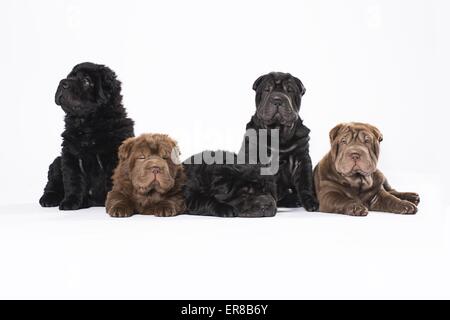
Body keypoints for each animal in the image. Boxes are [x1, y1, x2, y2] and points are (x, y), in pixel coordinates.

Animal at [39, 62, 134, 210]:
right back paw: (49, 199)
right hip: (57, 162)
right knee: (51, 184)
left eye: (86, 81)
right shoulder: (70, 155)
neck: (87, 125)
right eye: (69, 77)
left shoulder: (114, 155)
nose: (62, 82)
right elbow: (73, 181)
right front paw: (70, 202)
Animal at [237, 73, 318, 212]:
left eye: (290, 90)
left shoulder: (302, 159)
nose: (277, 99)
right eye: (267, 89)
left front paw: (311, 202)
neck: (279, 133)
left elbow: (305, 182)